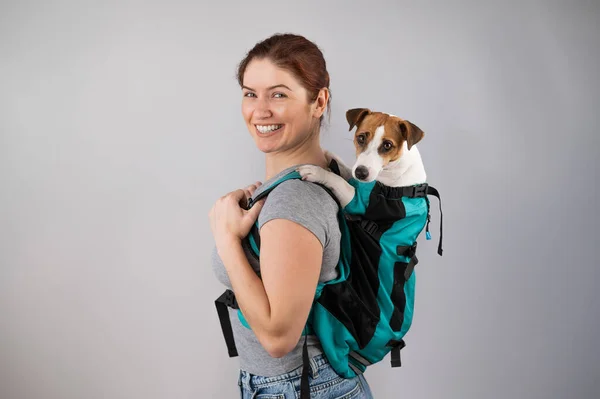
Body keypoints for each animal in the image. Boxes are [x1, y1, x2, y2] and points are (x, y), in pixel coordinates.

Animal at [296, 108, 426, 208]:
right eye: (361, 138)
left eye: (387, 145)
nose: (361, 173)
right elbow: (343, 167)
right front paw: (326, 153)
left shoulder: (357, 201)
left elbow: (338, 180)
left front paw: (316, 172)